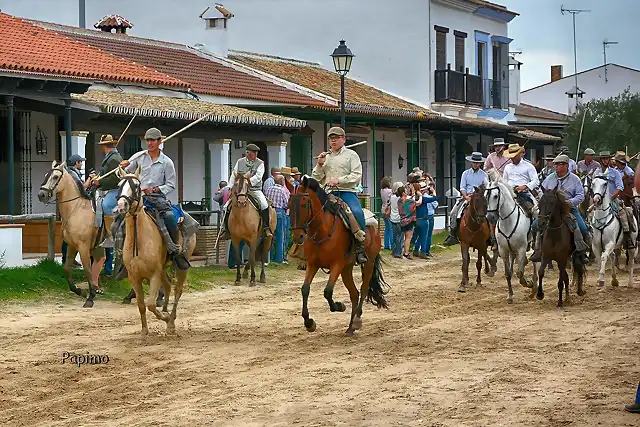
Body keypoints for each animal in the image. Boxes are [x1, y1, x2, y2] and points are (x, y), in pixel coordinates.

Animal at [36, 163, 104, 308]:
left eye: (55, 176)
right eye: (46, 175)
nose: (41, 195)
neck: (77, 210)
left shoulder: (83, 247)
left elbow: (88, 270)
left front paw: (90, 298)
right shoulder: (72, 245)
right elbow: (67, 269)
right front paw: (80, 291)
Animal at [115, 168, 195, 338]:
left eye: (137, 186)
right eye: (119, 185)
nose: (121, 205)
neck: (139, 240)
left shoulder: (154, 274)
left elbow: (151, 304)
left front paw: (165, 319)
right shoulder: (134, 277)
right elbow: (141, 305)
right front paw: (144, 332)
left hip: (181, 266)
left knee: (177, 291)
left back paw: (170, 322)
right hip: (163, 268)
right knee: (168, 286)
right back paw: (165, 311)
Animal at [290, 177, 390, 338]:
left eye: (304, 204)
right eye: (288, 204)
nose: (297, 237)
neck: (323, 230)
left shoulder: (336, 264)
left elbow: (328, 291)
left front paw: (339, 306)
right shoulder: (313, 264)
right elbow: (305, 289)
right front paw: (309, 323)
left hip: (367, 263)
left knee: (363, 289)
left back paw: (356, 321)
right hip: (346, 269)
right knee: (354, 293)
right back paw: (350, 328)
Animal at [484, 169, 540, 302]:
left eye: (495, 196)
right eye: (485, 196)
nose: (490, 217)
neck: (508, 221)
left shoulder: (521, 248)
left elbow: (519, 273)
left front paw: (529, 284)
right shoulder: (503, 250)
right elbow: (508, 273)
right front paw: (510, 295)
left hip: (534, 244)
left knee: (535, 263)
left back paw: (534, 288)